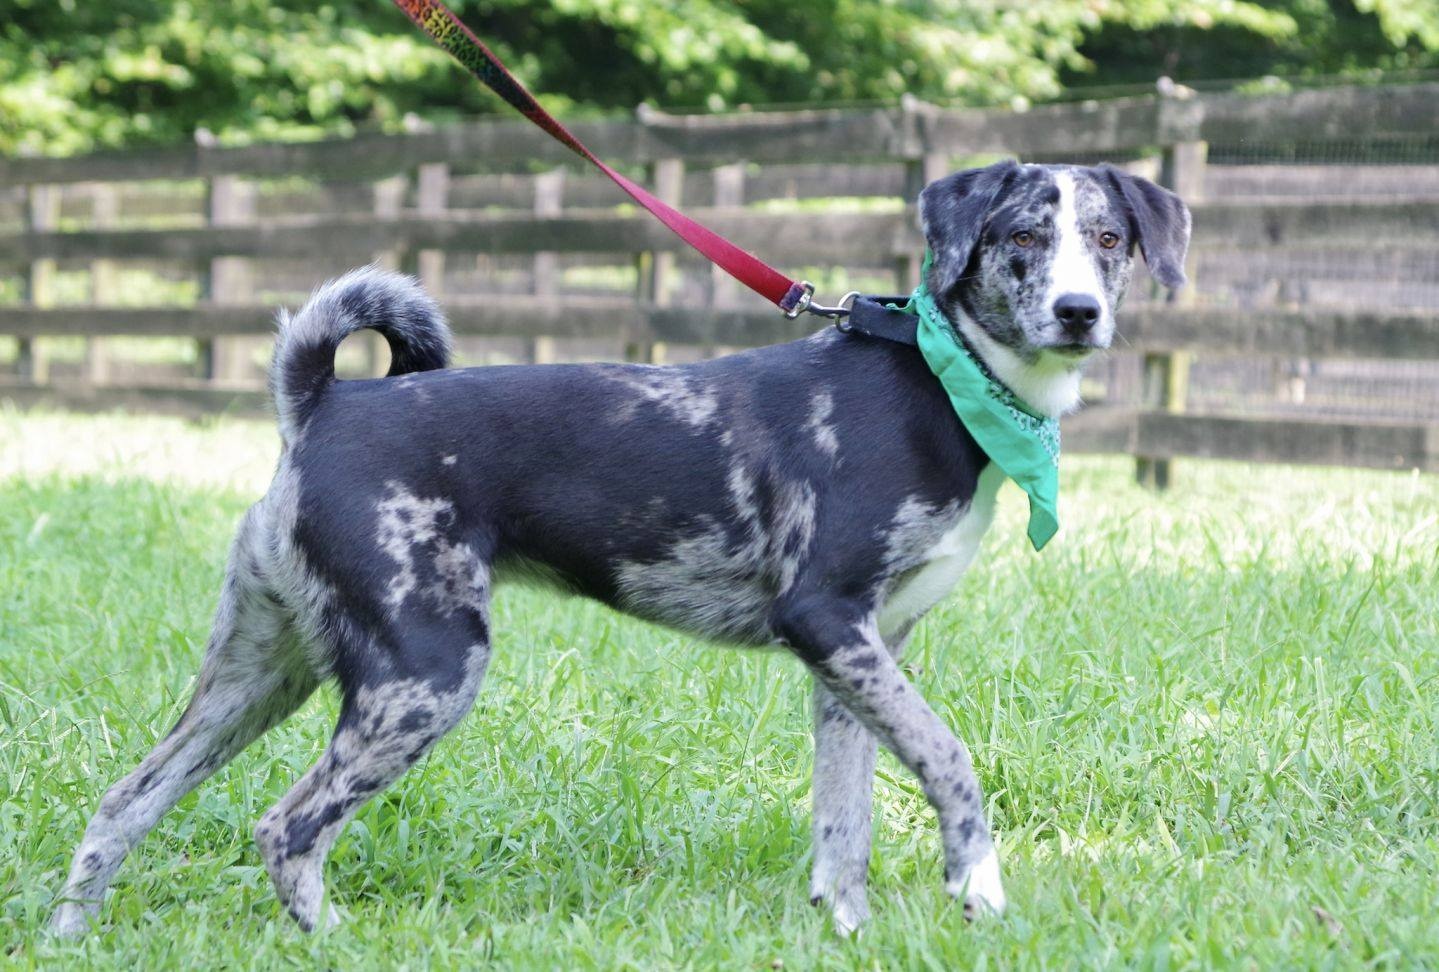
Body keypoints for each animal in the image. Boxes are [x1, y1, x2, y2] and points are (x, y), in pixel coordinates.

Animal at [50, 159, 1185, 933]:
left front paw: (847, 929)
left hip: (258, 673)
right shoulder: (829, 620)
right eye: (1022, 238)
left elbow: (844, 823)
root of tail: (322, 404)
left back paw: (70, 934)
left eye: (1107, 239)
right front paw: (976, 885)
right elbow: (950, 761)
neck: (940, 381)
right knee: (287, 831)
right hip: (422, 671)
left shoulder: (857, 659)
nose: (1077, 312)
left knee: (121, 803)